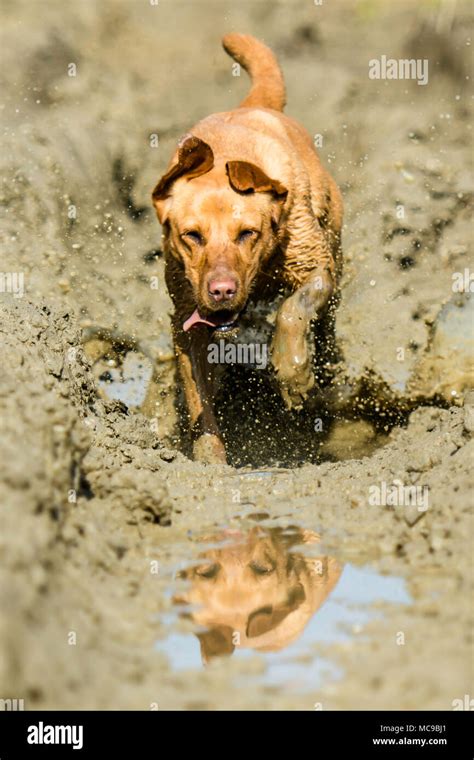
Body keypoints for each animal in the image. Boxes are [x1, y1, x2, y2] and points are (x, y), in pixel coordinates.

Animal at [154, 34, 342, 464]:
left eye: (247, 233)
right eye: (192, 235)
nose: (221, 290)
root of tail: (252, 103)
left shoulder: (313, 264)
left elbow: (293, 310)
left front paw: (292, 371)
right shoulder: (186, 319)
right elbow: (198, 394)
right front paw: (209, 457)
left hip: (335, 247)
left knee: (325, 318)